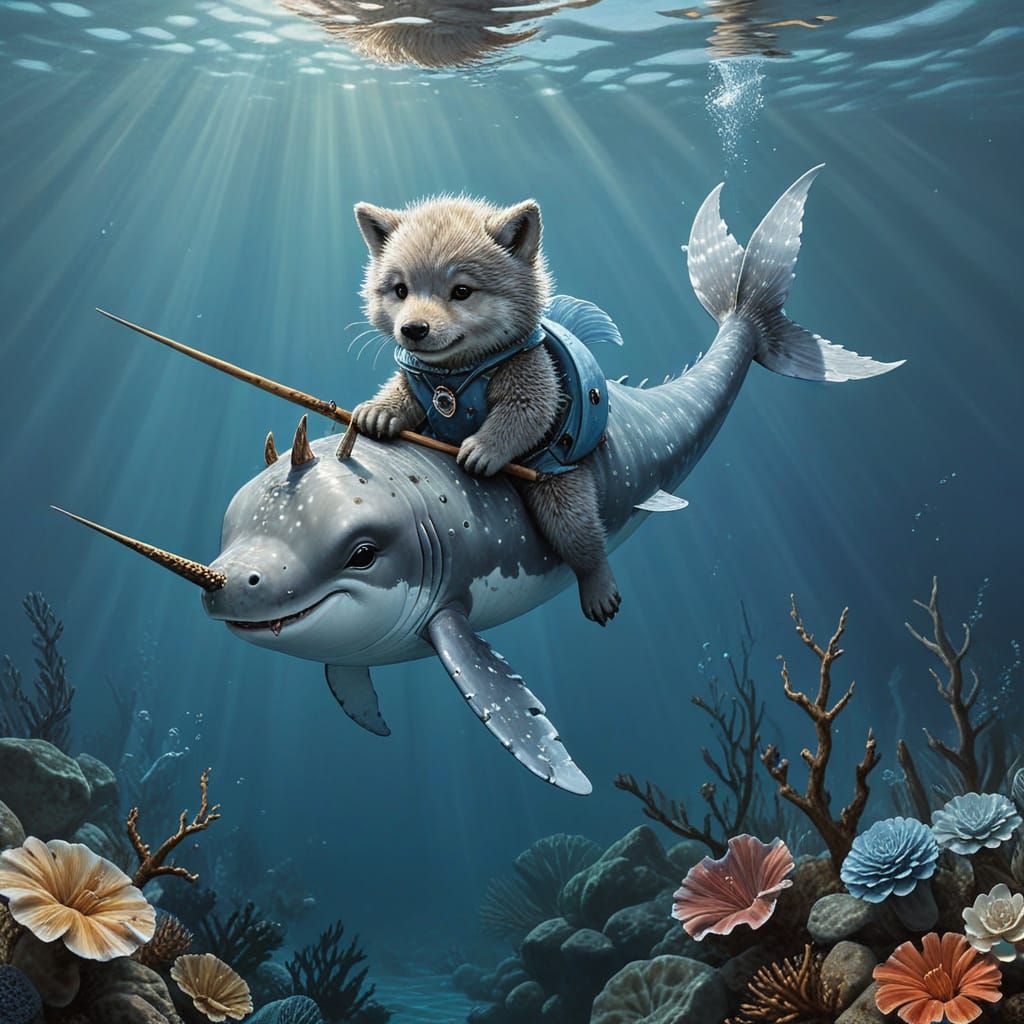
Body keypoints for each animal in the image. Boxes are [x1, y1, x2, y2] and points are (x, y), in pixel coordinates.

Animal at [351, 196, 624, 625]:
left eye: (462, 290)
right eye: (400, 290)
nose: (413, 329)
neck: (453, 374)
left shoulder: (529, 372)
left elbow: (527, 412)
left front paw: (483, 449)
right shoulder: (415, 380)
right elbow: (401, 394)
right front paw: (378, 412)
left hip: (558, 488)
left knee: (578, 534)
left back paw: (599, 588)